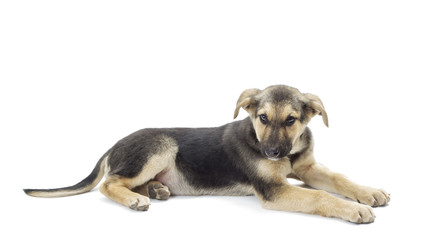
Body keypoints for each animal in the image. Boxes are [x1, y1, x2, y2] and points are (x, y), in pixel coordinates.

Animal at [25, 85, 390, 223]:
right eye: (262, 118)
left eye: (291, 120)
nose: (272, 152)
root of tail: (114, 144)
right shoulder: (274, 190)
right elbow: (319, 197)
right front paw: (352, 209)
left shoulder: (308, 166)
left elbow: (339, 178)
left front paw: (368, 192)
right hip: (161, 147)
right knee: (109, 183)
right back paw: (136, 199)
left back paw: (155, 189)